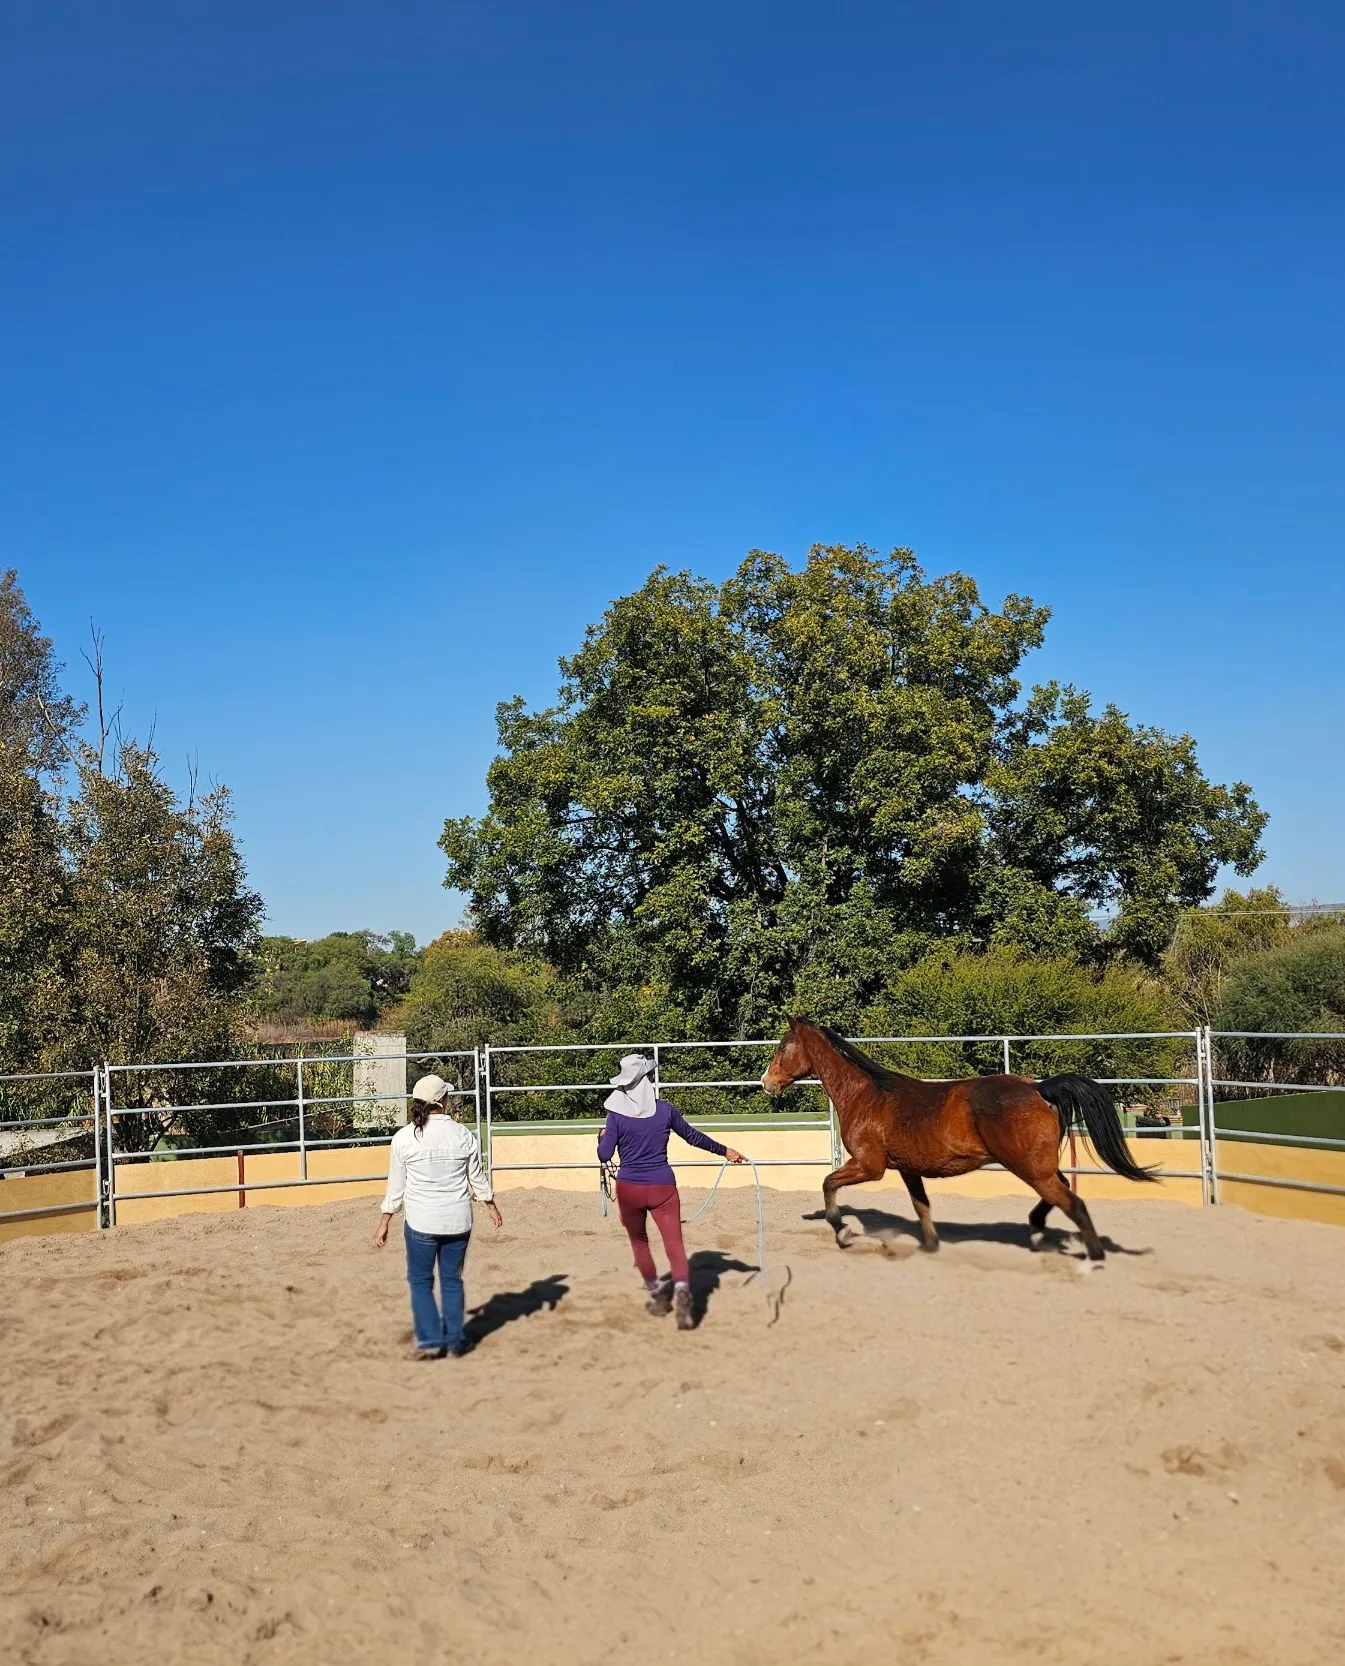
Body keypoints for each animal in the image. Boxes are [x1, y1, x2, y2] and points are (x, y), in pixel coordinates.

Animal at [761, 1016, 1158, 1262]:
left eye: (782, 1047)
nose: (766, 1082)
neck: (866, 1095)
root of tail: (1039, 1088)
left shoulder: (870, 1166)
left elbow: (828, 1183)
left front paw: (842, 1231)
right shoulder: (907, 1169)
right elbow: (921, 1206)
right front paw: (930, 1247)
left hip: (1029, 1167)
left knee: (1073, 1203)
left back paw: (1092, 1256)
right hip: (1037, 1166)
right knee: (1059, 1194)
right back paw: (1035, 1232)